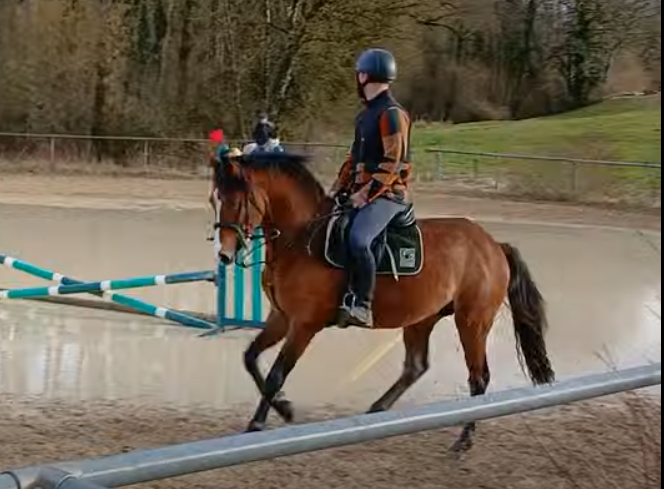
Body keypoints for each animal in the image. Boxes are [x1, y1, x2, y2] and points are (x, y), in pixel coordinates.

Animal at [213, 152, 555, 452]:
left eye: (237, 200)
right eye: (217, 198)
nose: (224, 254)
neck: (302, 239)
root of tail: (493, 245)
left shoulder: (304, 325)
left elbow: (275, 374)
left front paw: (261, 422)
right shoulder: (281, 317)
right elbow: (250, 357)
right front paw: (282, 408)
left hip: (472, 322)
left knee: (478, 377)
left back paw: (463, 440)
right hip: (422, 319)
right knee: (416, 366)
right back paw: (377, 410)